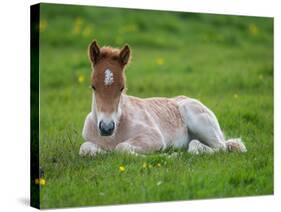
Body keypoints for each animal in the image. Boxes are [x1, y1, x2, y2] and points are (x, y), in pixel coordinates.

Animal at [79, 40, 245, 156]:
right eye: (93, 86)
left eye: (122, 88)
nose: (107, 128)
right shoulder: (89, 141)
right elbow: (85, 148)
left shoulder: (154, 137)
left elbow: (121, 147)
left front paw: (165, 156)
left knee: (220, 147)